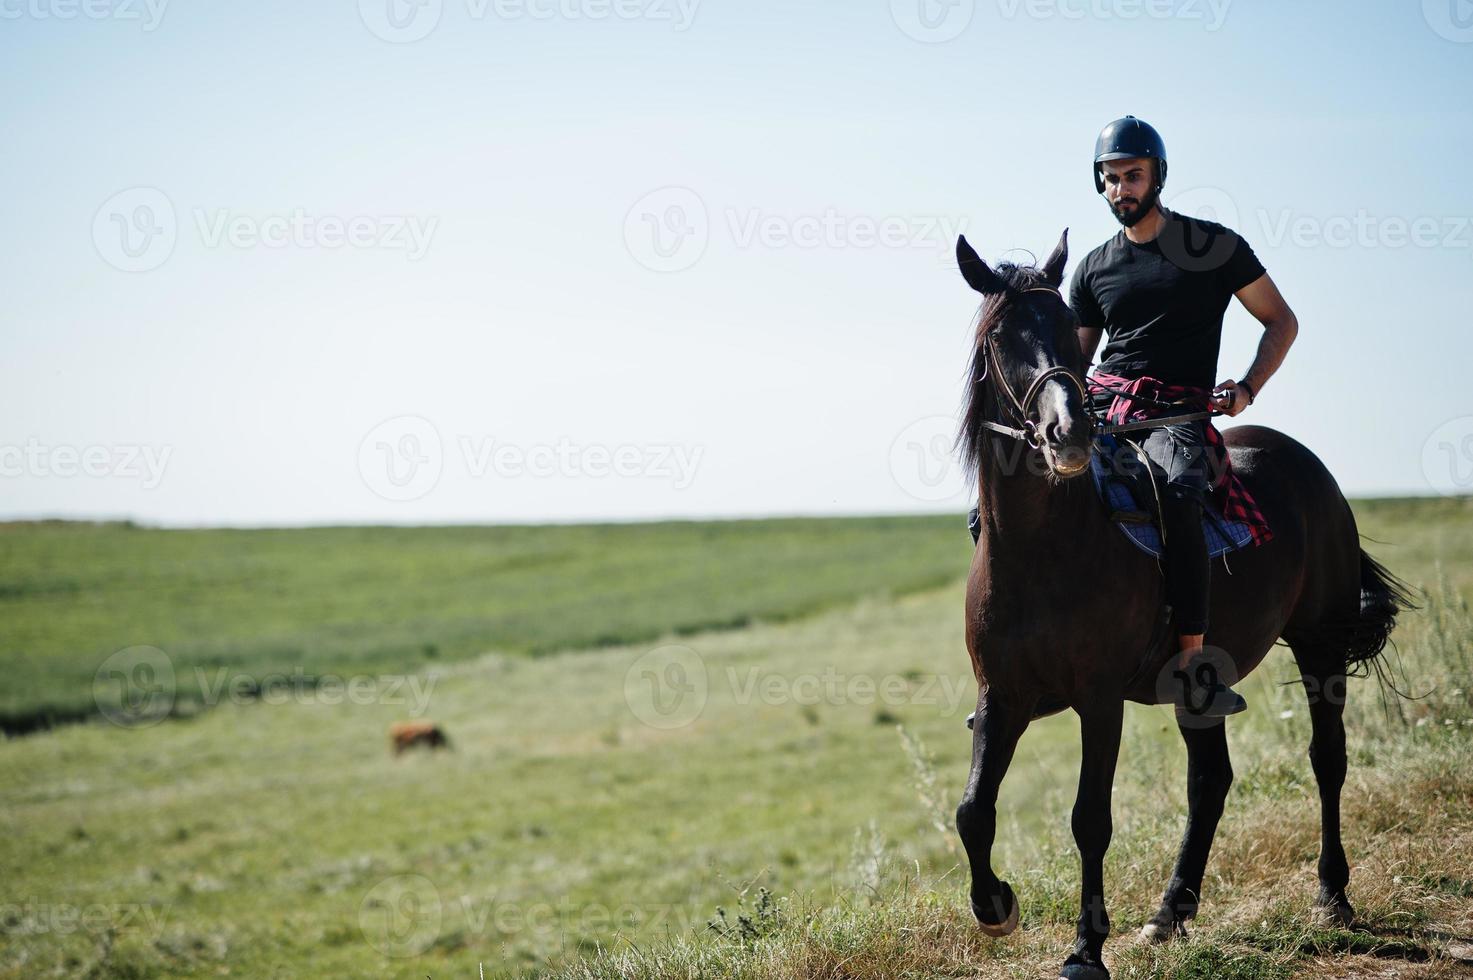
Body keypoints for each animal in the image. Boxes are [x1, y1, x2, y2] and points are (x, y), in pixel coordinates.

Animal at [948, 231, 1408, 978]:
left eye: (1066, 335)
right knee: (1211, 780)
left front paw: (1086, 949)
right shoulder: (1001, 694)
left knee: (1326, 759)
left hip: (1318, 644)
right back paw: (1171, 911)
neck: (1043, 549)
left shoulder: (1099, 699)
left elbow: (1089, 819)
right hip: (1201, 684)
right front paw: (995, 907)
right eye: (1000, 338)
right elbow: (972, 811)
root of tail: (1308, 466)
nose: (1070, 433)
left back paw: (1332, 895)